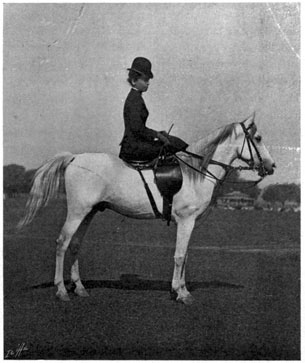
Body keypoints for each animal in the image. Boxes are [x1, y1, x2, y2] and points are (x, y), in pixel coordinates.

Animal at [19, 114, 276, 304]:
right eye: (258, 137)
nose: (272, 166)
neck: (197, 172)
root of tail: (74, 158)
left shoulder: (189, 222)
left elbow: (185, 255)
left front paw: (182, 289)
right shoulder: (186, 220)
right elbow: (180, 255)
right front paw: (180, 293)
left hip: (88, 212)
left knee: (75, 244)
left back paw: (80, 288)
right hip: (77, 211)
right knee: (62, 243)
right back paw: (62, 290)